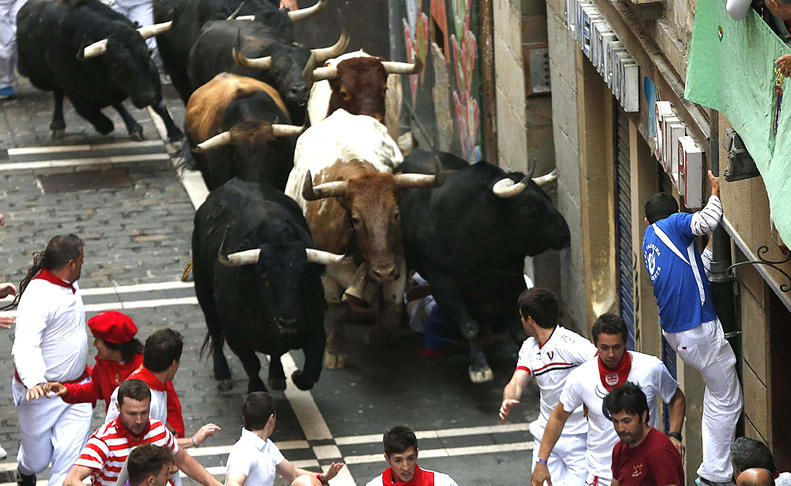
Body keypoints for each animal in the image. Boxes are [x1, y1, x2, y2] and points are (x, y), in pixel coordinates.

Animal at [17, 0, 183, 142]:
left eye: (148, 54)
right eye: (115, 64)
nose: (146, 98)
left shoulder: (151, 79)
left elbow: (159, 106)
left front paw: (175, 133)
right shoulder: (76, 93)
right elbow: (93, 112)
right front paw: (107, 125)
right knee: (58, 94)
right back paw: (58, 125)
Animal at [400, 150, 572, 382]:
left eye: (547, 198)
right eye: (528, 206)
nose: (565, 234)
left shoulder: (512, 277)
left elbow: (518, 328)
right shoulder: (443, 283)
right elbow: (468, 326)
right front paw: (479, 366)